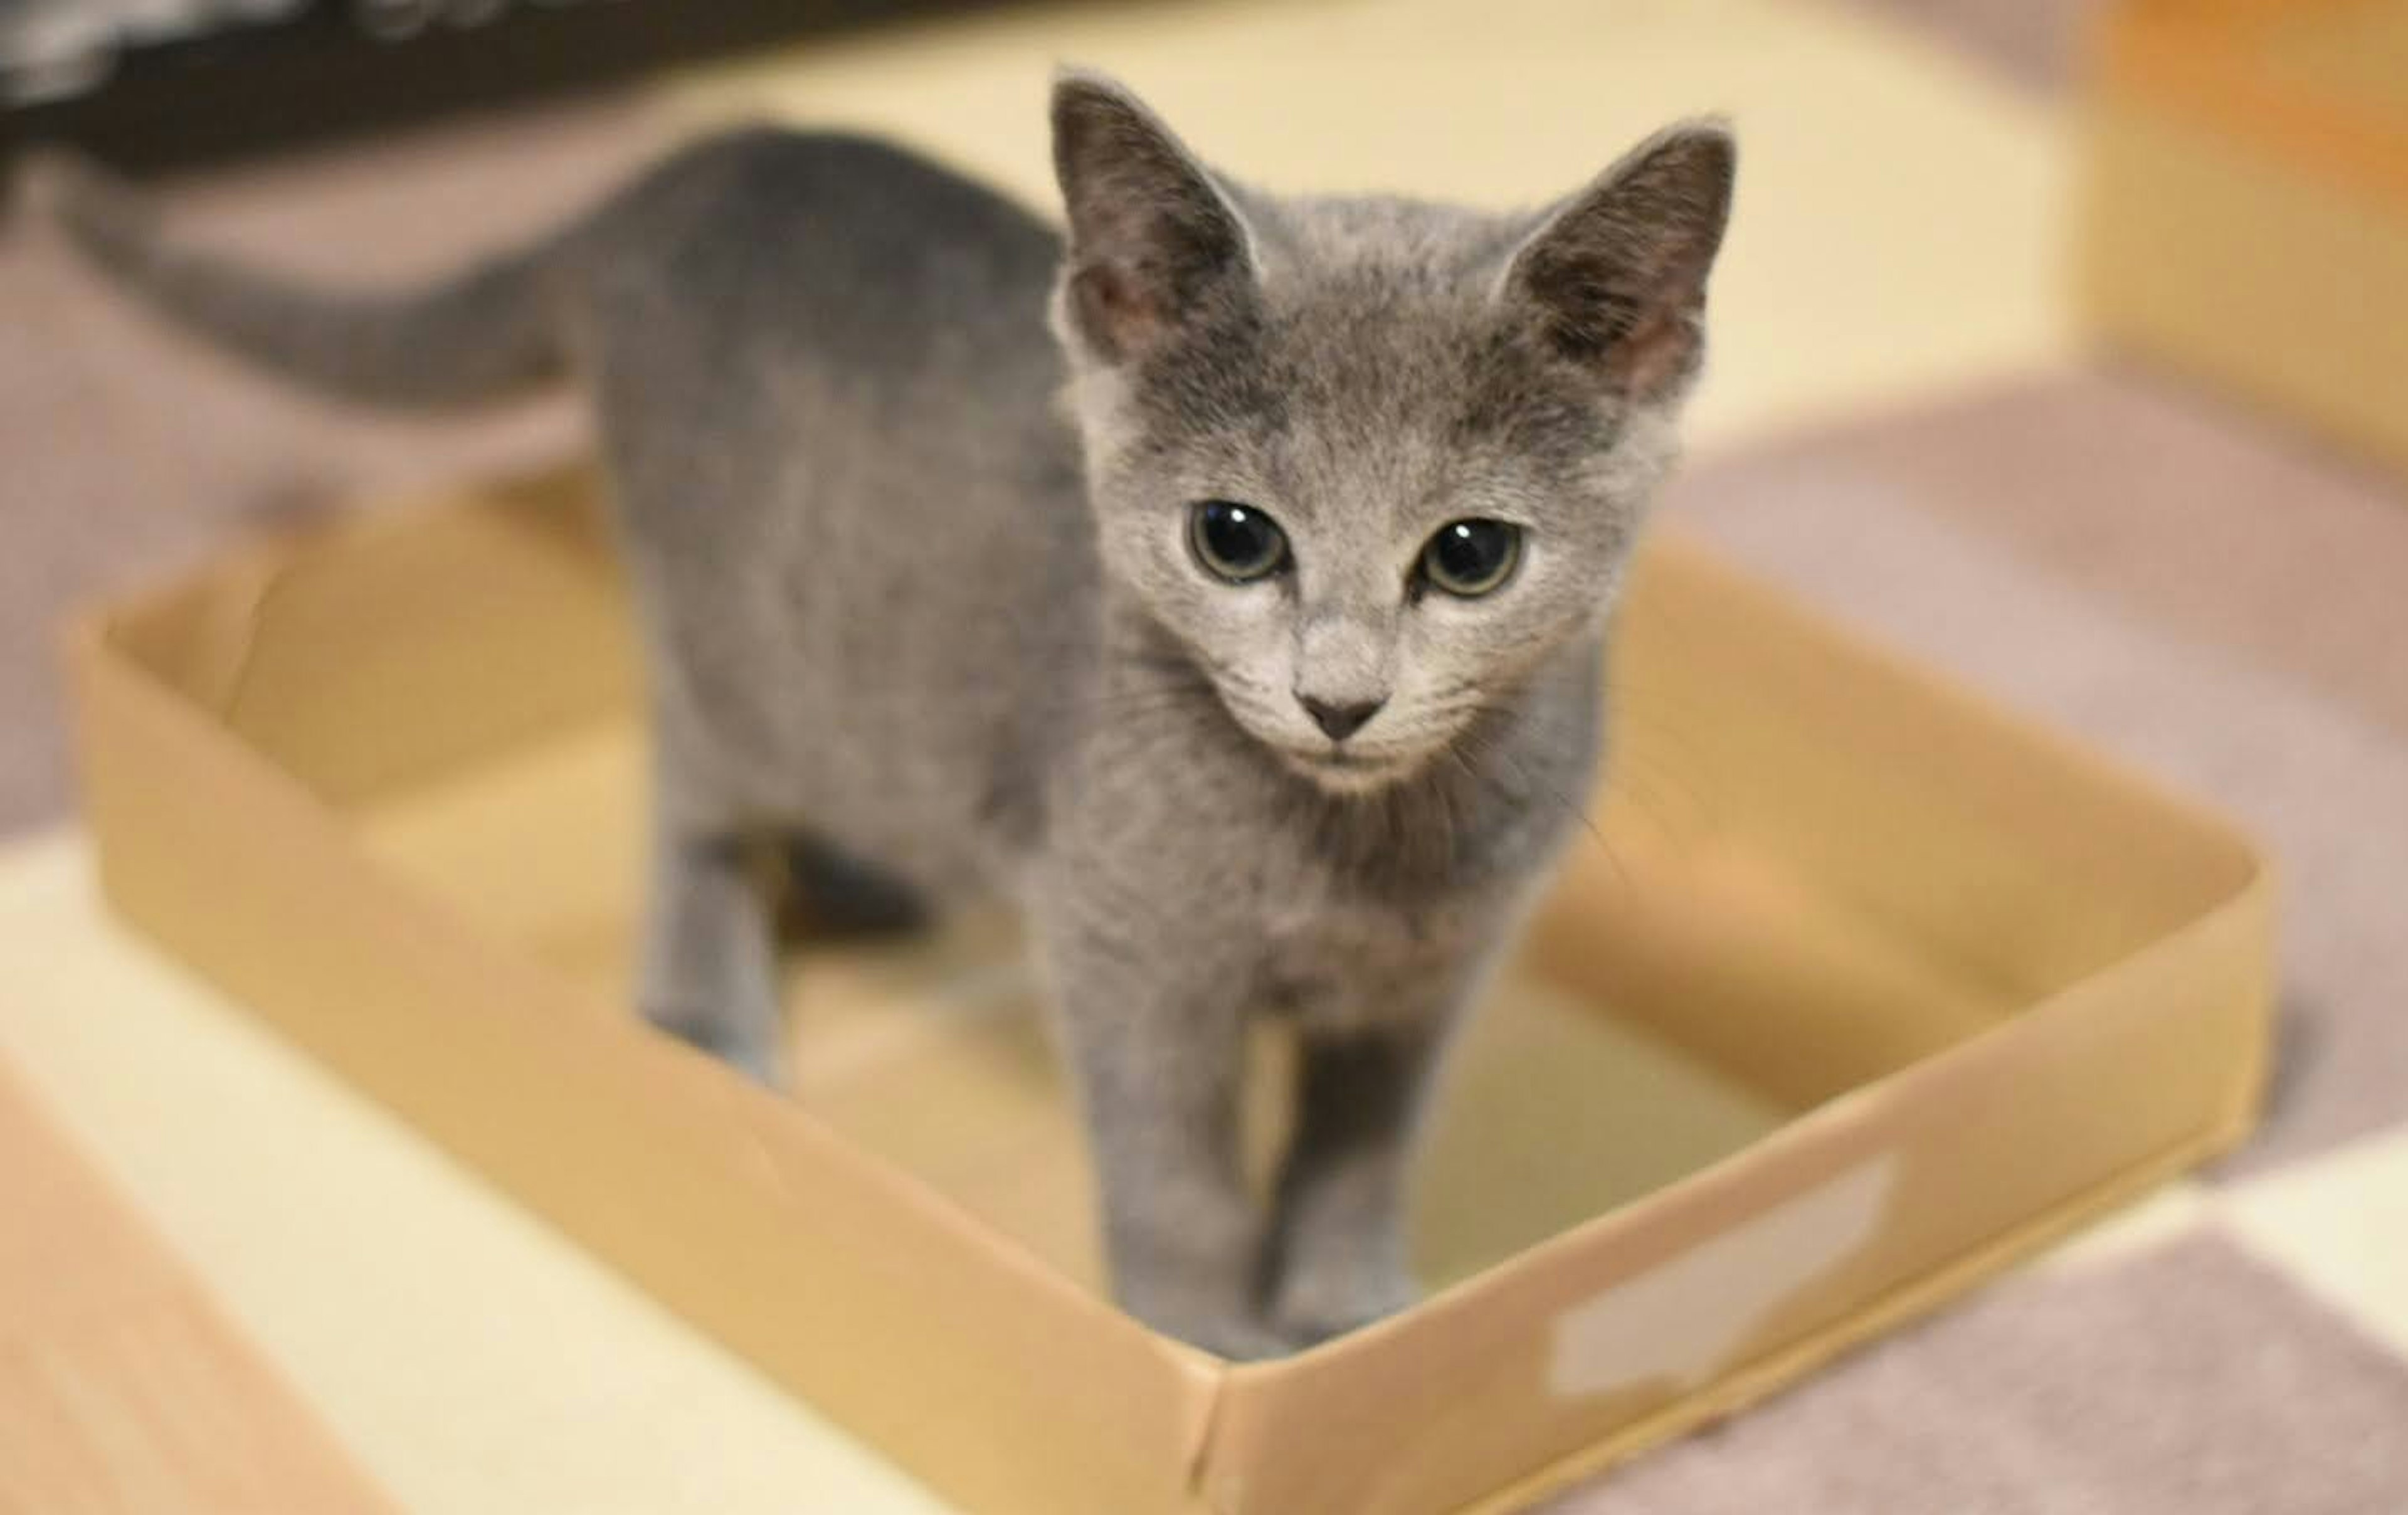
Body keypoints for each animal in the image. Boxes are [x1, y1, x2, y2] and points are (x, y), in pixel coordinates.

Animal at [38, 77, 1733, 1358]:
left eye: (1470, 554)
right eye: (1234, 539)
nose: (1337, 694)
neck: (1355, 846)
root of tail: (696, 167)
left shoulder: (1434, 976)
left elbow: (1361, 1148)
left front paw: (1345, 1310)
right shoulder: (1127, 945)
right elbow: (1180, 1173)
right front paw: (1209, 1343)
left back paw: (868, 875)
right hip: (729, 636)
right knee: (692, 798)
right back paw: (705, 997)